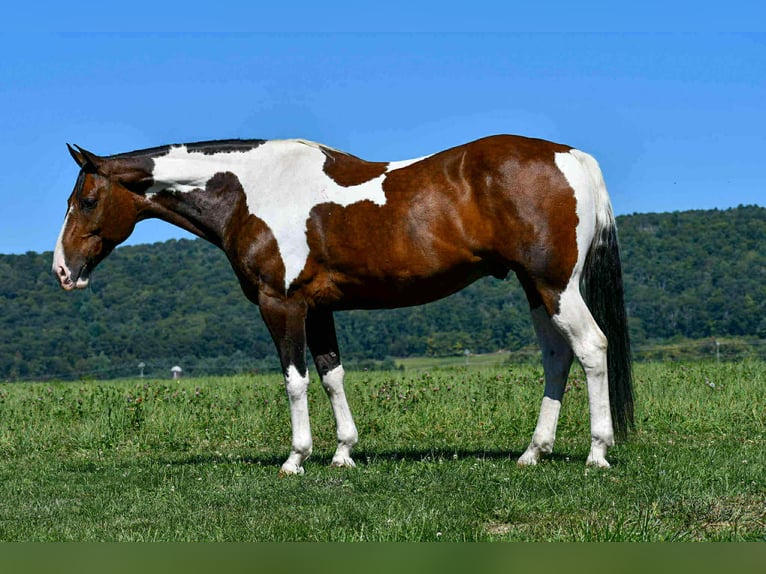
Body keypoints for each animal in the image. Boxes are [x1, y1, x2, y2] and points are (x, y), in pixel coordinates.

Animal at [53, 135, 634, 474]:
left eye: (87, 200)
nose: (62, 270)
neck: (249, 190)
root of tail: (570, 156)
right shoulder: (319, 308)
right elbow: (332, 375)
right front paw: (343, 454)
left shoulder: (281, 304)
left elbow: (295, 380)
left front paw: (296, 458)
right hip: (536, 288)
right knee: (557, 358)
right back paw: (533, 453)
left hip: (555, 287)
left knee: (591, 349)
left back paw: (597, 454)